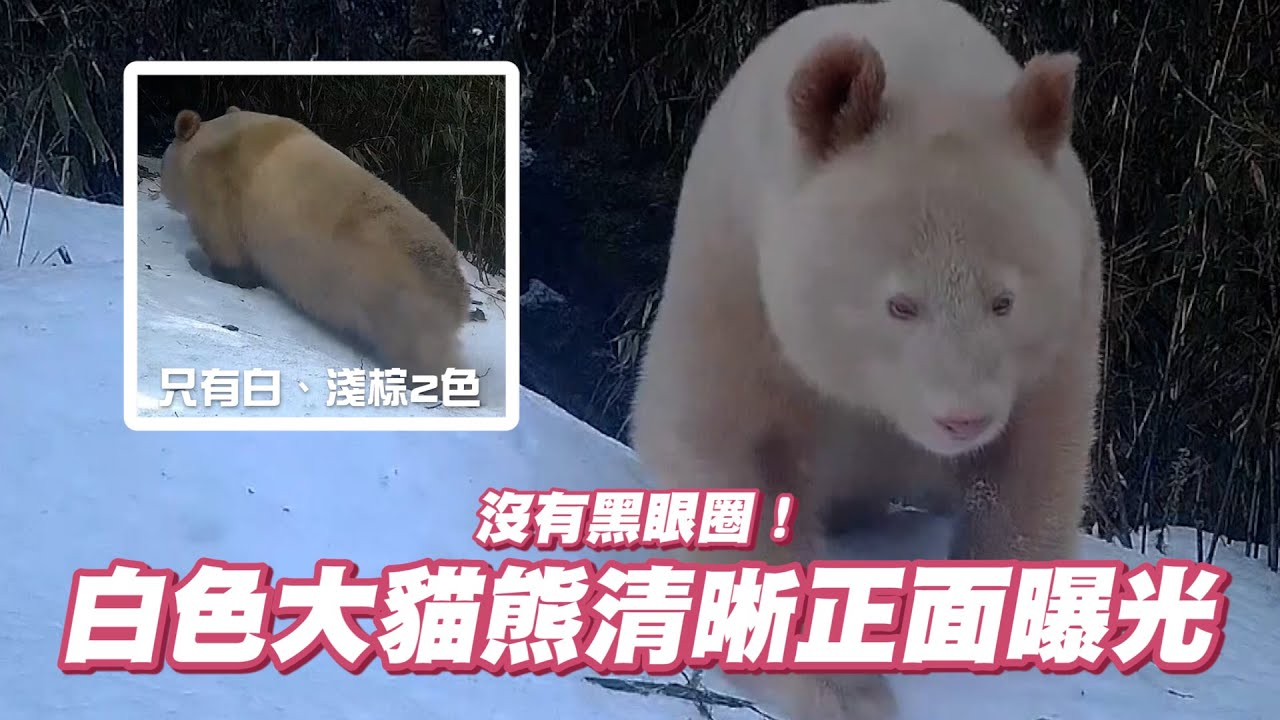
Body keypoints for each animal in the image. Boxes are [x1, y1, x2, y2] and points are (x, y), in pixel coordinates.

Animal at [159, 105, 472, 383]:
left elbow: (226, 248)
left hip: (400, 302)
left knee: (426, 357)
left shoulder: (221, 187)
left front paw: (230, 276)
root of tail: (459, 297)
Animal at [627, 0, 1104, 717]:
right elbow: (727, 449)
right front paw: (844, 686)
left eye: (1004, 301)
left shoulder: (1066, 319)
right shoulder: (738, 272)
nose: (962, 420)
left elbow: (1032, 465)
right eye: (900, 305)